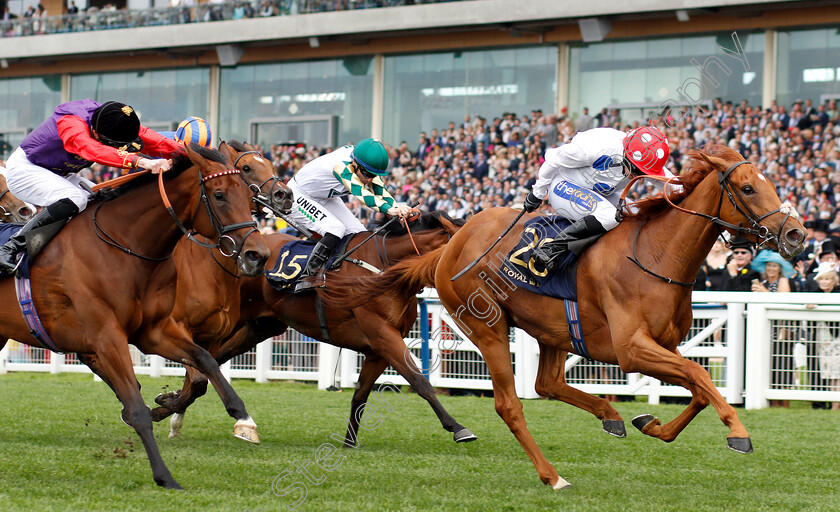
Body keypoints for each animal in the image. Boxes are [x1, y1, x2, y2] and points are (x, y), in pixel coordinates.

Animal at [0, 143, 270, 488]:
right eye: (220, 195)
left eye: (248, 195)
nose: (258, 255)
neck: (126, 245)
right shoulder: (107, 338)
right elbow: (139, 408)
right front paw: (165, 476)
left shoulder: (155, 331)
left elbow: (204, 363)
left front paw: (244, 419)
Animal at [152, 211, 480, 444]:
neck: (386, 270)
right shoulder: (383, 336)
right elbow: (420, 382)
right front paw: (458, 427)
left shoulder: (378, 349)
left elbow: (360, 396)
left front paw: (349, 442)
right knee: (203, 363)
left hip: (260, 326)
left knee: (210, 364)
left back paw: (169, 408)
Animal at [324, 147, 808, 488]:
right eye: (747, 188)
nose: (796, 234)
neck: (656, 255)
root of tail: (452, 244)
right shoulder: (632, 350)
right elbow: (701, 377)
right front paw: (738, 433)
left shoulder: (666, 346)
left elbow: (699, 389)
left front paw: (652, 424)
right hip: (487, 326)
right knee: (511, 403)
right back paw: (552, 475)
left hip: (553, 331)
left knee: (547, 384)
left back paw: (611, 416)